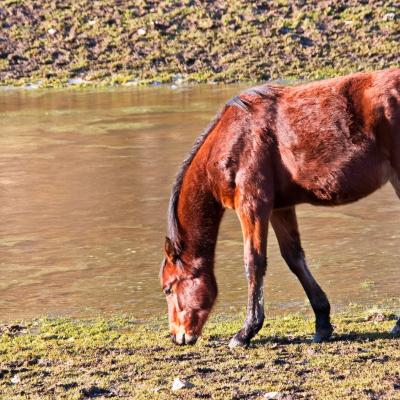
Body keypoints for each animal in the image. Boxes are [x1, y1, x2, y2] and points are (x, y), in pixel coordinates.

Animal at [159, 67, 400, 346]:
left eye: (168, 287)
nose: (177, 336)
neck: (232, 137)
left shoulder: (252, 206)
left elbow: (253, 262)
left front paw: (245, 332)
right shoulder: (279, 209)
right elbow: (294, 257)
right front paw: (322, 324)